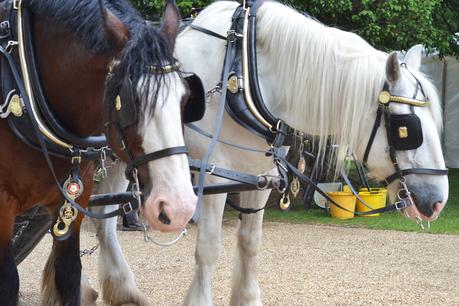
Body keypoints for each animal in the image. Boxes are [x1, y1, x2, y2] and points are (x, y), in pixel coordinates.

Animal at [0, 0, 196, 304]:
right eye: (130, 100)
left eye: (184, 97)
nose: (180, 207)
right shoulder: (2, 205)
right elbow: (9, 282)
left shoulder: (72, 202)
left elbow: (68, 274)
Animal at [90, 1, 450, 304]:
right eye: (406, 129)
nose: (437, 202)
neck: (242, 69)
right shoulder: (213, 174)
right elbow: (208, 248)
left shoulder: (258, 176)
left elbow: (250, 243)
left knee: (102, 218)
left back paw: (120, 291)